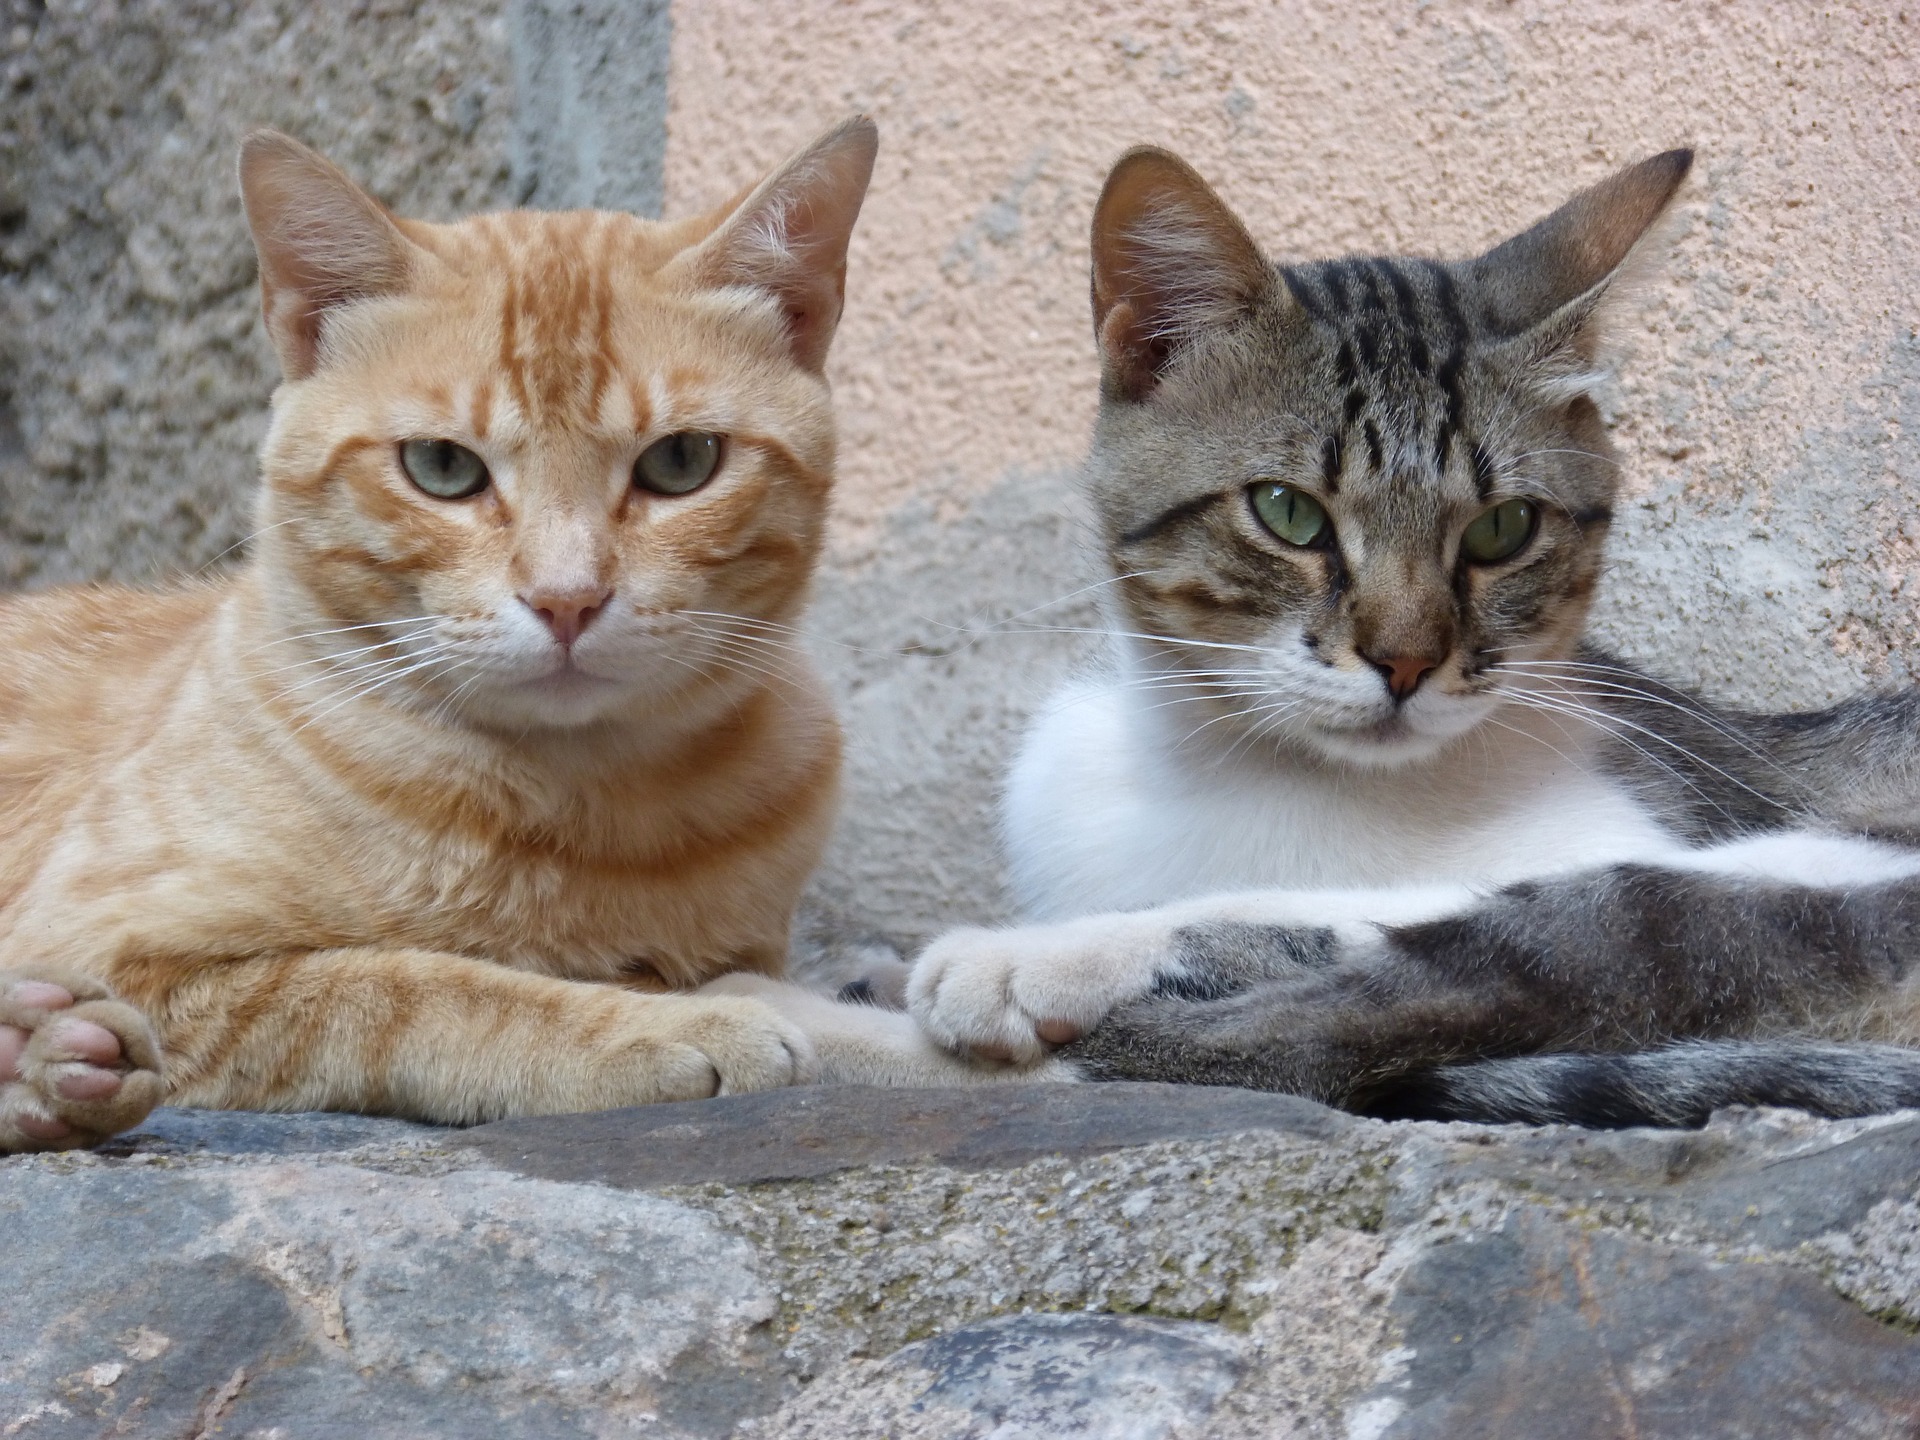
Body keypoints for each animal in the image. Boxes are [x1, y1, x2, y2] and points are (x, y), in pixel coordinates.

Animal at [0, 112, 956, 1159]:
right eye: (442, 467)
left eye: (681, 461)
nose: (567, 599)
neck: (588, 816)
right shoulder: (115, 947)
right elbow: (405, 986)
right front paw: (653, 1027)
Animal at [902, 144, 1920, 1128]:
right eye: (1288, 512)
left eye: (1504, 528)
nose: (1406, 660)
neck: (1246, 776)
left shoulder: (1776, 841)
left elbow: (1341, 911)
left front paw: (1039, 957)